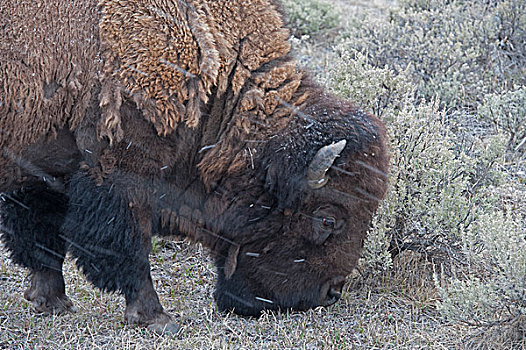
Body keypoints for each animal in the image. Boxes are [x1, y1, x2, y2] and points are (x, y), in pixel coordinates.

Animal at [0, 0, 388, 330]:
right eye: (328, 220)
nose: (329, 294)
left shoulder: (40, 165)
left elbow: (40, 236)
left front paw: (51, 302)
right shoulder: (124, 171)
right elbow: (130, 246)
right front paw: (156, 318)